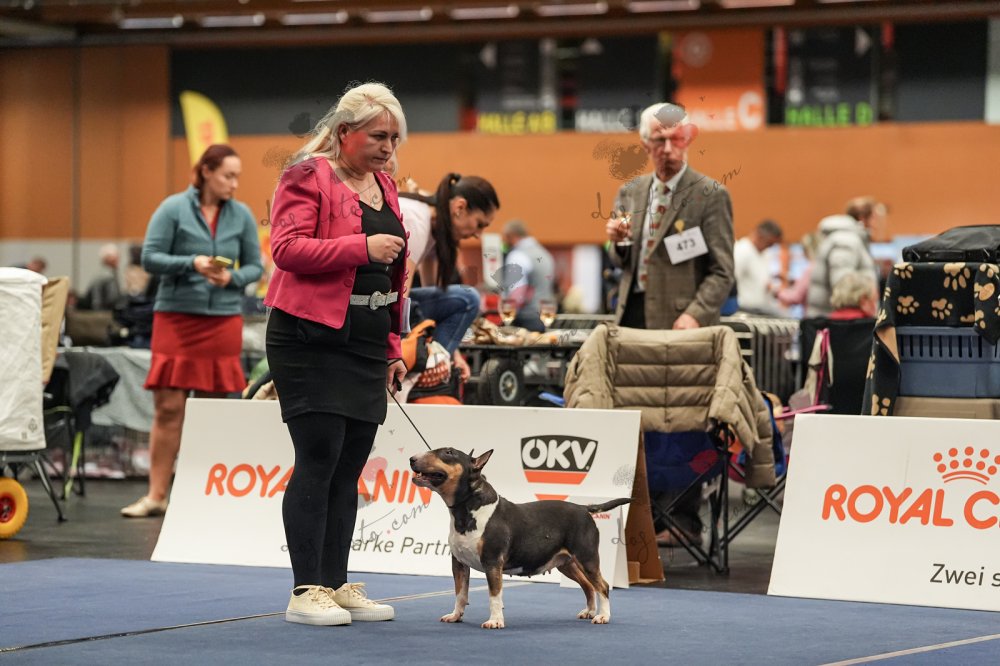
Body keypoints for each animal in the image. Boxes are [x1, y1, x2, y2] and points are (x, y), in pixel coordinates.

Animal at [410, 447, 630, 629]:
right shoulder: (459, 563)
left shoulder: (492, 561)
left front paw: (495, 621)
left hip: (587, 557)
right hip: (567, 563)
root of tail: (584, 508)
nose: (412, 458)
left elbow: (494, 594)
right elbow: (460, 593)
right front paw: (455, 616)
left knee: (602, 586)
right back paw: (589, 612)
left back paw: (603, 617)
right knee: (588, 585)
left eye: (448, 453)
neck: (468, 508)